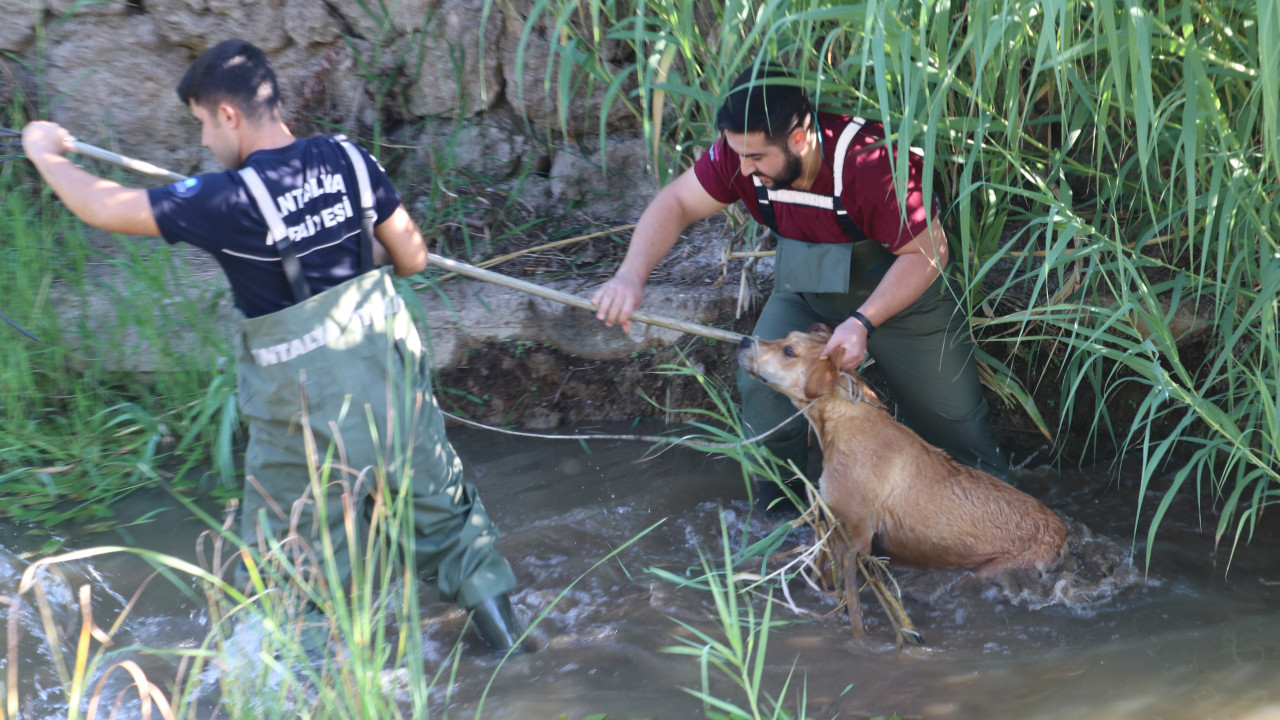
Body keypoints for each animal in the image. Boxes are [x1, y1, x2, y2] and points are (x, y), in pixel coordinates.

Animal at [737, 325, 1064, 576]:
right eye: (786, 336)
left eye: (789, 351)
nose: (743, 341)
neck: (848, 421)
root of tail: (1060, 534)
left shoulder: (854, 535)